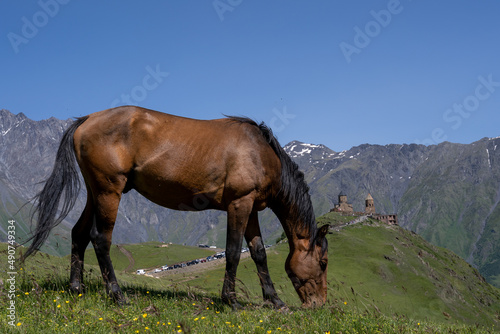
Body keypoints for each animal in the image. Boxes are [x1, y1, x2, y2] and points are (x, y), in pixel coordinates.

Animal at [23, 106, 330, 308]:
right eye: (324, 262)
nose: (319, 304)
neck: (260, 152)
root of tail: (87, 119)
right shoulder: (239, 204)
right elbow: (232, 252)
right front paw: (230, 301)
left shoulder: (251, 207)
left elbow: (259, 254)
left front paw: (274, 300)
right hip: (109, 191)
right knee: (100, 239)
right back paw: (117, 294)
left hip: (95, 192)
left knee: (79, 234)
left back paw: (77, 288)